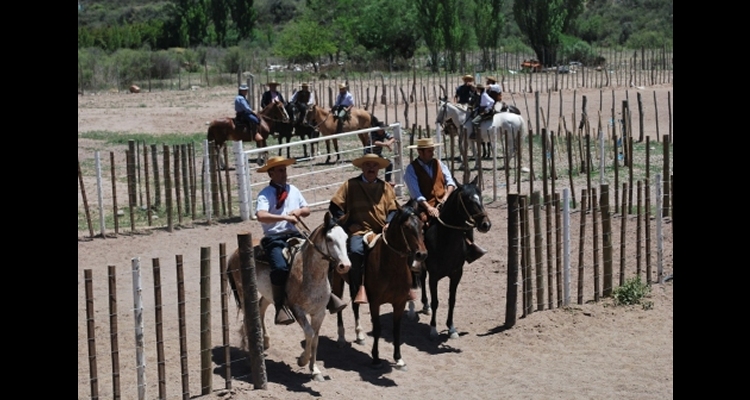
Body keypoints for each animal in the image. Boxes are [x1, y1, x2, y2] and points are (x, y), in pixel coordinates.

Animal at [223, 212, 352, 382]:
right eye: (329, 239)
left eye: (346, 237)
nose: (345, 265)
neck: (308, 273)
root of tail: (235, 252)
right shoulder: (297, 310)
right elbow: (309, 333)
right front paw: (302, 360)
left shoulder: (319, 313)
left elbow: (315, 339)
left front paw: (315, 370)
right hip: (244, 292)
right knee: (248, 318)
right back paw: (248, 355)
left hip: (267, 294)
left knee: (261, 308)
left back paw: (265, 341)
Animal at [334, 200, 432, 368]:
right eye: (406, 227)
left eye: (421, 225)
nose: (422, 254)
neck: (390, 266)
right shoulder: (375, 302)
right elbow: (377, 329)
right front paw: (375, 358)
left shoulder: (399, 302)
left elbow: (396, 329)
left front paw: (398, 358)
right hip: (337, 280)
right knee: (340, 307)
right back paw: (341, 338)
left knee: (355, 305)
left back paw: (359, 335)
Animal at [412, 177, 494, 340]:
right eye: (468, 200)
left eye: (481, 197)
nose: (485, 224)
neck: (444, 241)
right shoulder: (434, 276)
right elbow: (436, 301)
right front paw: (433, 329)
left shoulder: (456, 274)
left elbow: (452, 300)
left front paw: (451, 328)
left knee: (422, 278)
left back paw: (425, 306)